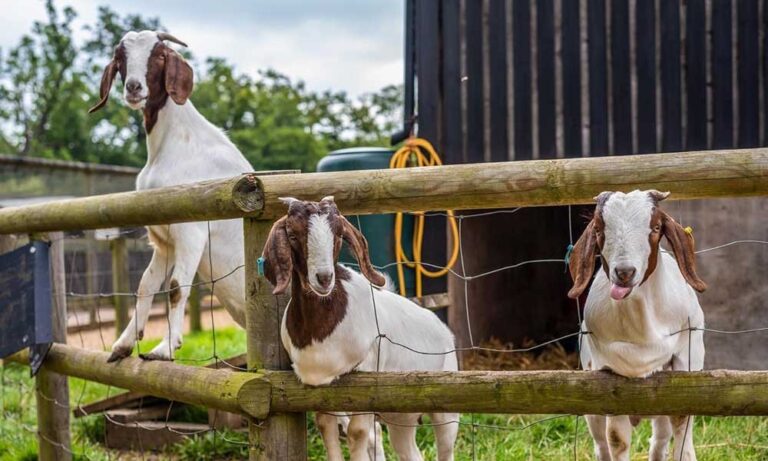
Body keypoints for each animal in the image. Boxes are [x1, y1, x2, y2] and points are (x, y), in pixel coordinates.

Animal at [89, 30, 252, 361]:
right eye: (119, 57)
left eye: (160, 56)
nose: (134, 87)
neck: (176, 144)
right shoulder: (164, 241)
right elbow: (145, 285)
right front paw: (123, 344)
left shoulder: (191, 232)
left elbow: (177, 287)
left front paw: (164, 348)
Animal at [262, 196, 459, 461]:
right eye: (292, 235)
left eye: (338, 234)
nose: (324, 278)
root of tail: (443, 329)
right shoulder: (319, 386)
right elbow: (325, 425)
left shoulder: (367, 374)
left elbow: (357, 432)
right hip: (402, 414)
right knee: (409, 450)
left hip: (446, 407)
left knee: (445, 446)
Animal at [568, 190, 707, 461]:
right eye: (598, 229)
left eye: (655, 227)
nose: (624, 272)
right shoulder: (607, 376)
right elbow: (617, 439)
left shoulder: (687, 361)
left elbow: (682, 420)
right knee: (601, 443)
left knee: (660, 440)